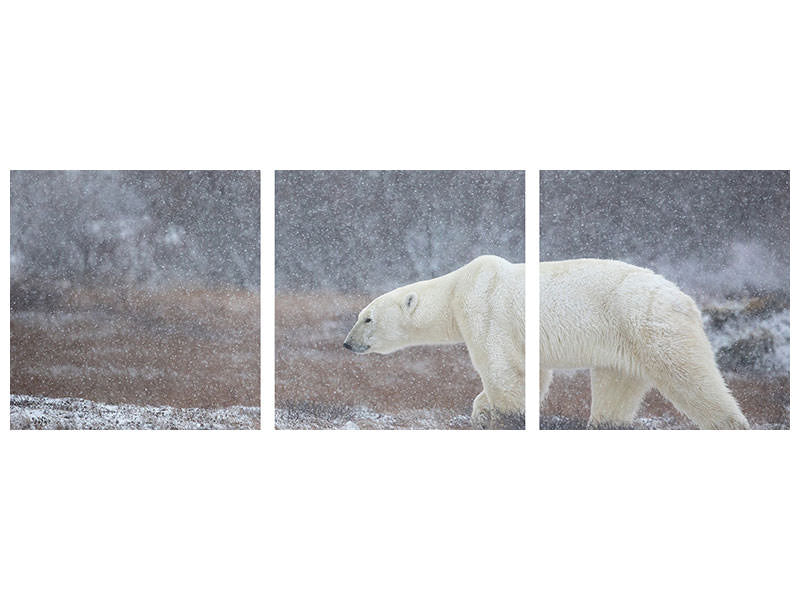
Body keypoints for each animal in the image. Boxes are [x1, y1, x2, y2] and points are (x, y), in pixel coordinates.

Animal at [344, 255, 524, 428]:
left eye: (368, 319)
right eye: (360, 316)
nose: (348, 343)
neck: (455, 292)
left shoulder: (486, 313)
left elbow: (503, 375)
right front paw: (481, 417)